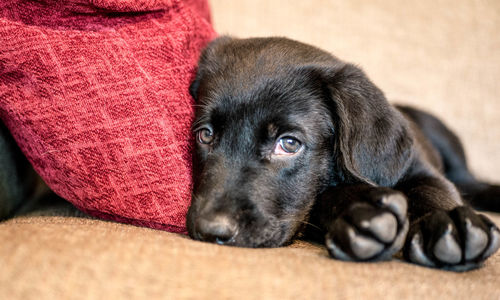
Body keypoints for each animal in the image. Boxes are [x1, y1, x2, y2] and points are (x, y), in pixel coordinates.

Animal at [188, 36, 500, 270]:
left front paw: (448, 222)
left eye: (289, 144)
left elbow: (433, 192)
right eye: (206, 135)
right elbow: (324, 198)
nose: (211, 230)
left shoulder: (420, 168)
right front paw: (360, 214)